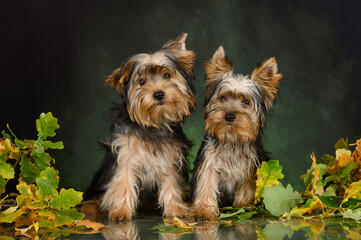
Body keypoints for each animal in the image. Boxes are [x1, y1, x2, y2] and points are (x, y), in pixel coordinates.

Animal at [83, 32, 195, 220]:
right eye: (142, 82)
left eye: (167, 76)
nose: (158, 94)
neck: (152, 124)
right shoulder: (125, 155)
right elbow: (123, 181)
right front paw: (120, 211)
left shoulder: (170, 156)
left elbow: (171, 181)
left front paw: (175, 209)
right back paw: (92, 206)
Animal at [190, 45, 282, 219]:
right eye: (223, 98)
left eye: (246, 102)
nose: (229, 115)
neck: (231, 138)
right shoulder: (209, 162)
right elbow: (207, 183)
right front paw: (204, 209)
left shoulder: (251, 165)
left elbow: (248, 185)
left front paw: (243, 205)